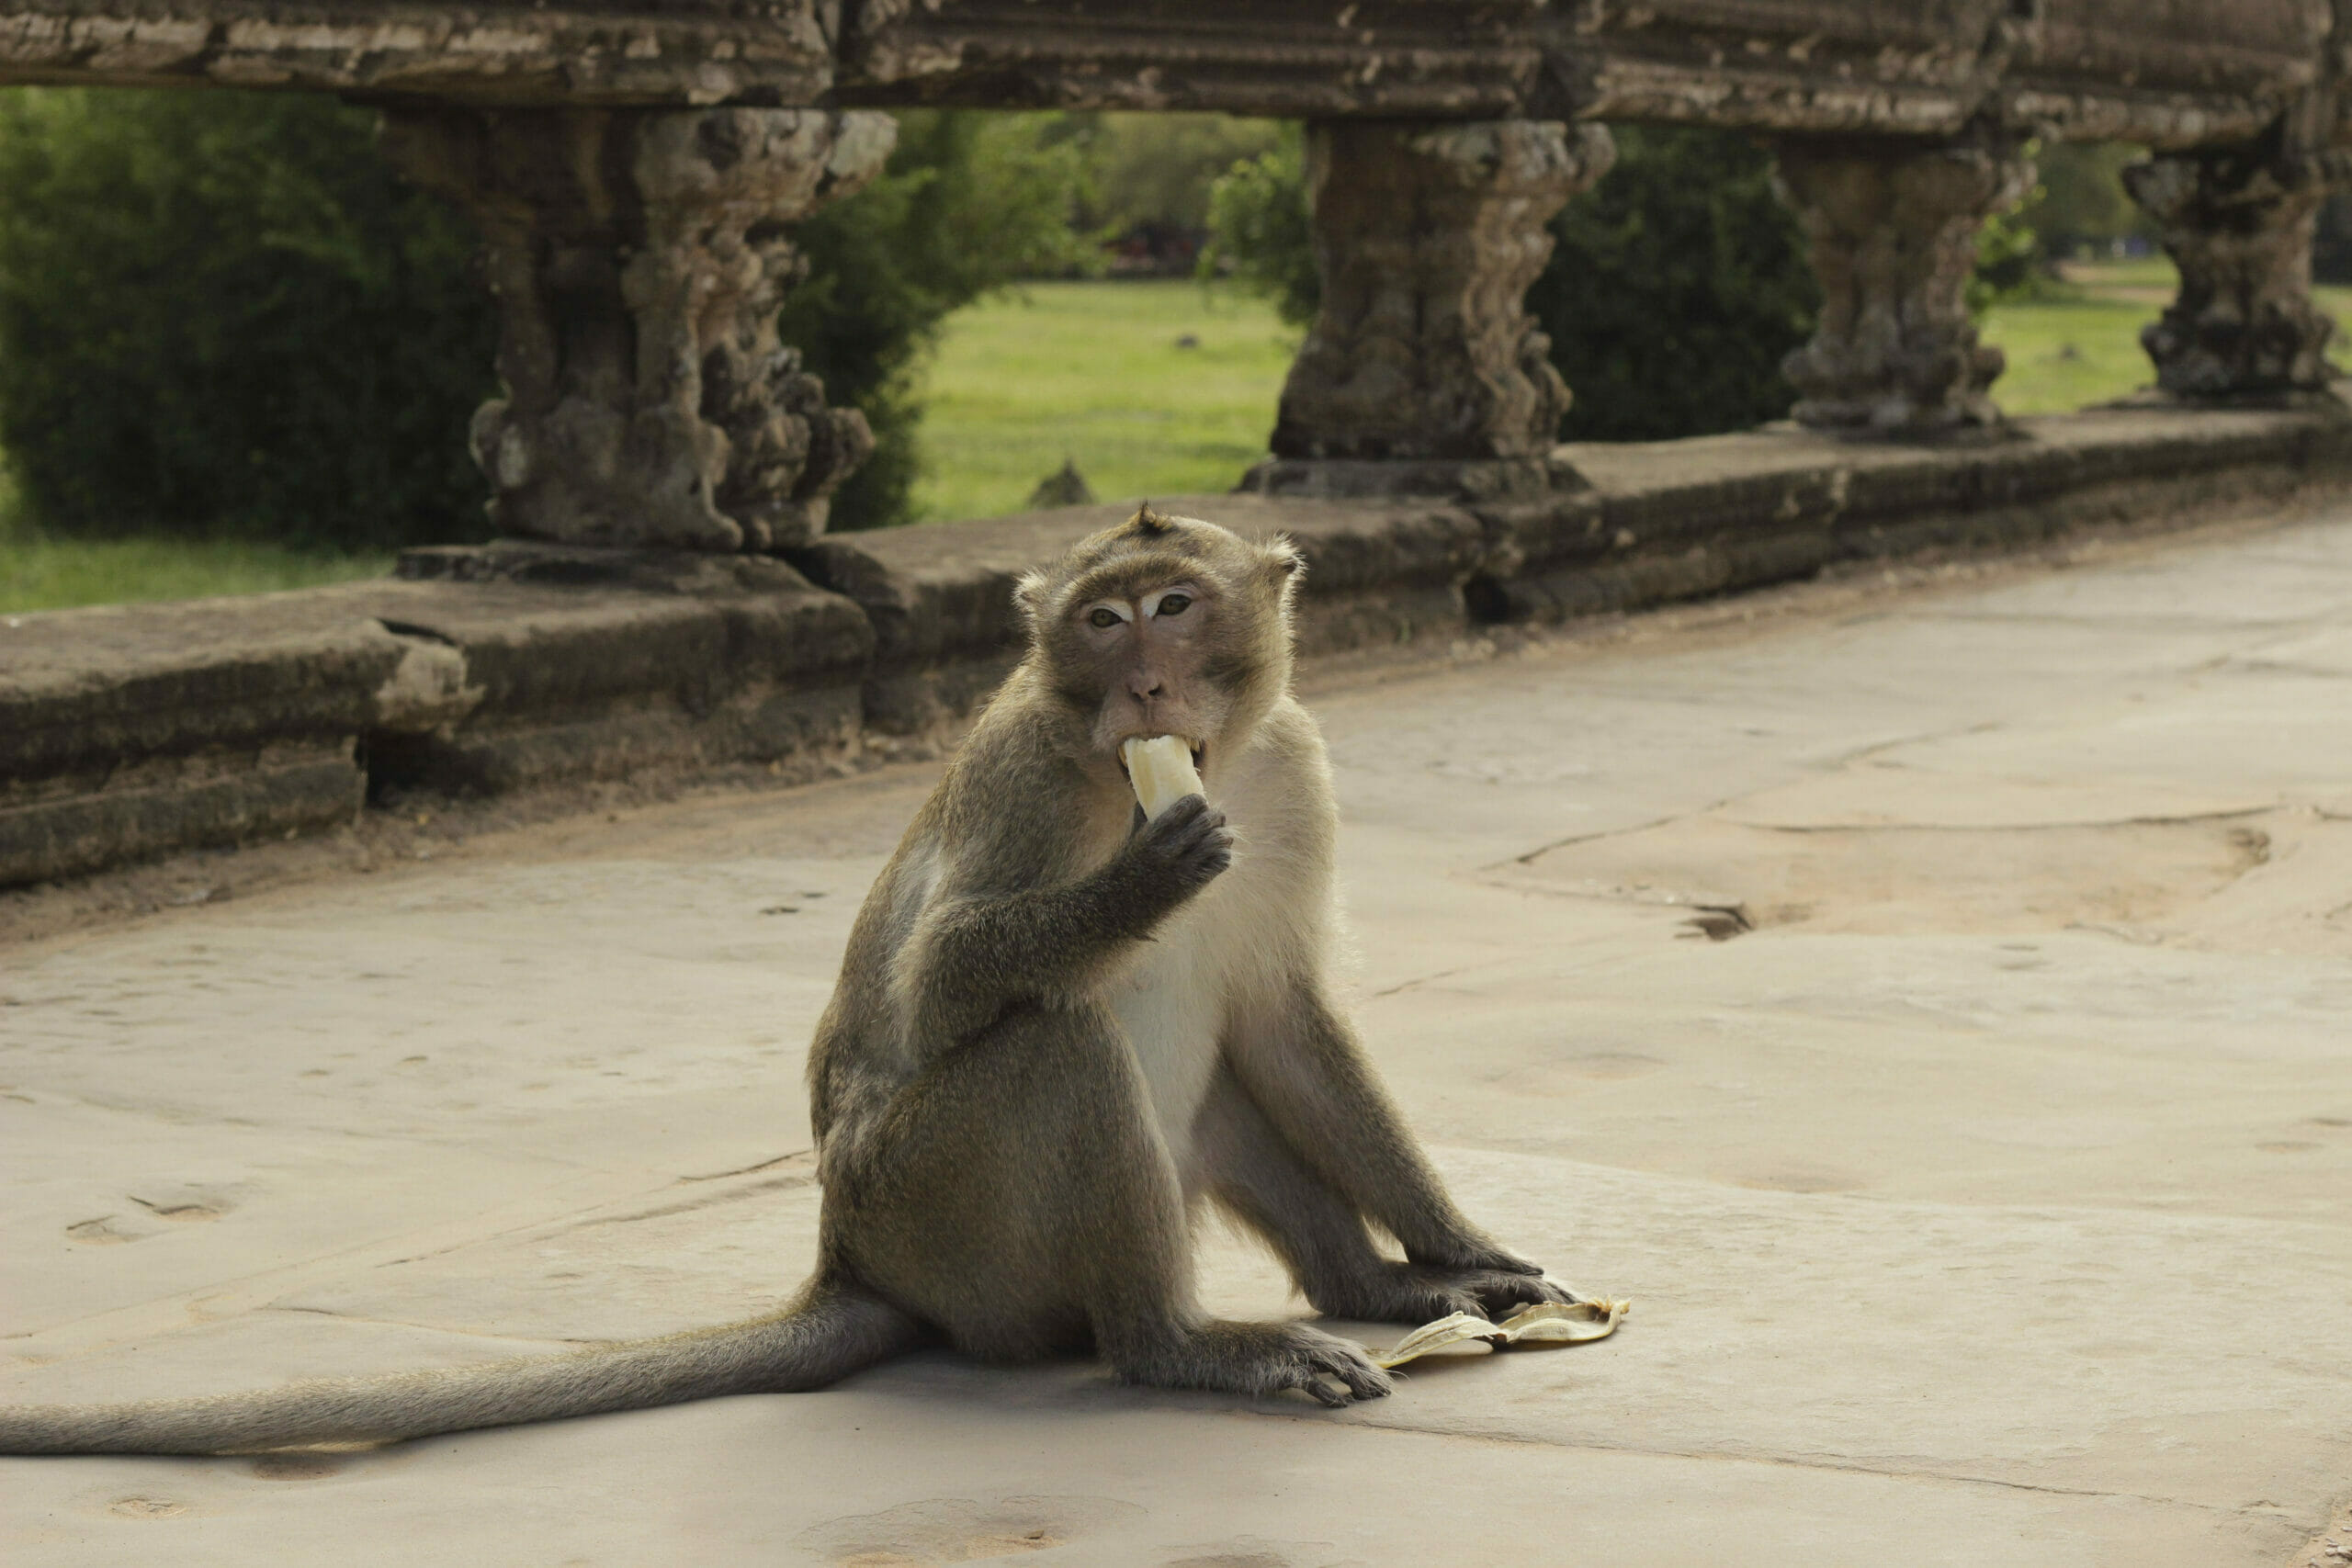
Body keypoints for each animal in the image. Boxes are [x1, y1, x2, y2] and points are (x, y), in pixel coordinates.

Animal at [0, 506, 1574, 1455]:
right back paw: (1182, 1344)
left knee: (1228, 1074)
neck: (1199, 760)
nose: (1141, 686)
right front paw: (1138, 884)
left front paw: (1458, 1245)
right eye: (1101, 621)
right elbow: (940, 985)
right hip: (940, 1211)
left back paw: (1371, 1283)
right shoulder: (1024, 772)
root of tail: (848, 1255)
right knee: (1055, 1042)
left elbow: (1288, 1016)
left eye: (1176, 603)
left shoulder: (1295, 770)